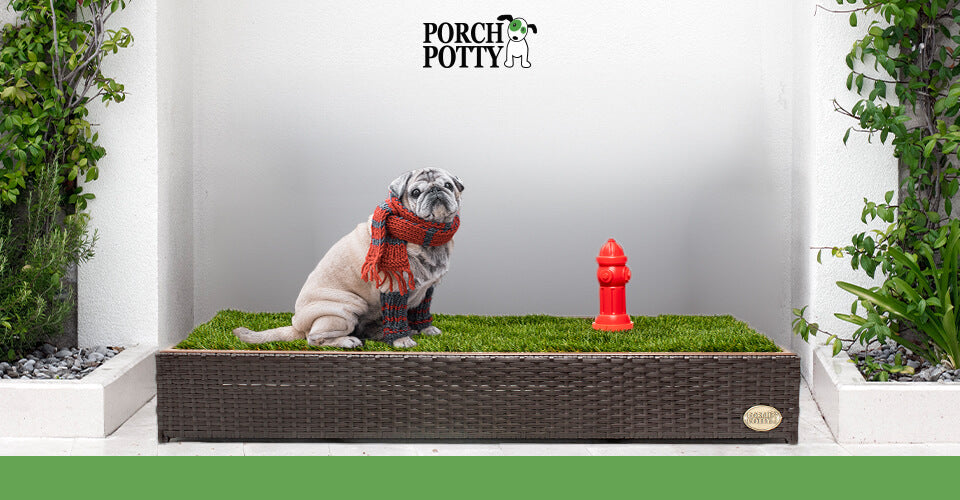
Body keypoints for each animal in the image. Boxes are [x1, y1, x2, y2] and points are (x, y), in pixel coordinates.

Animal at [238, 168, 466, 348]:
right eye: (416, 192)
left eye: (448, 185)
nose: (436, 190)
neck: (425, 236)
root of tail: (297, 326)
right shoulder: (394, 288)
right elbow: (397, 318)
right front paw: (402, 340)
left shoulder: (426, 290)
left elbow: (421, 312)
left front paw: (425, 329)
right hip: (348, 308)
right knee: (314, 339)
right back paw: (348, 341)